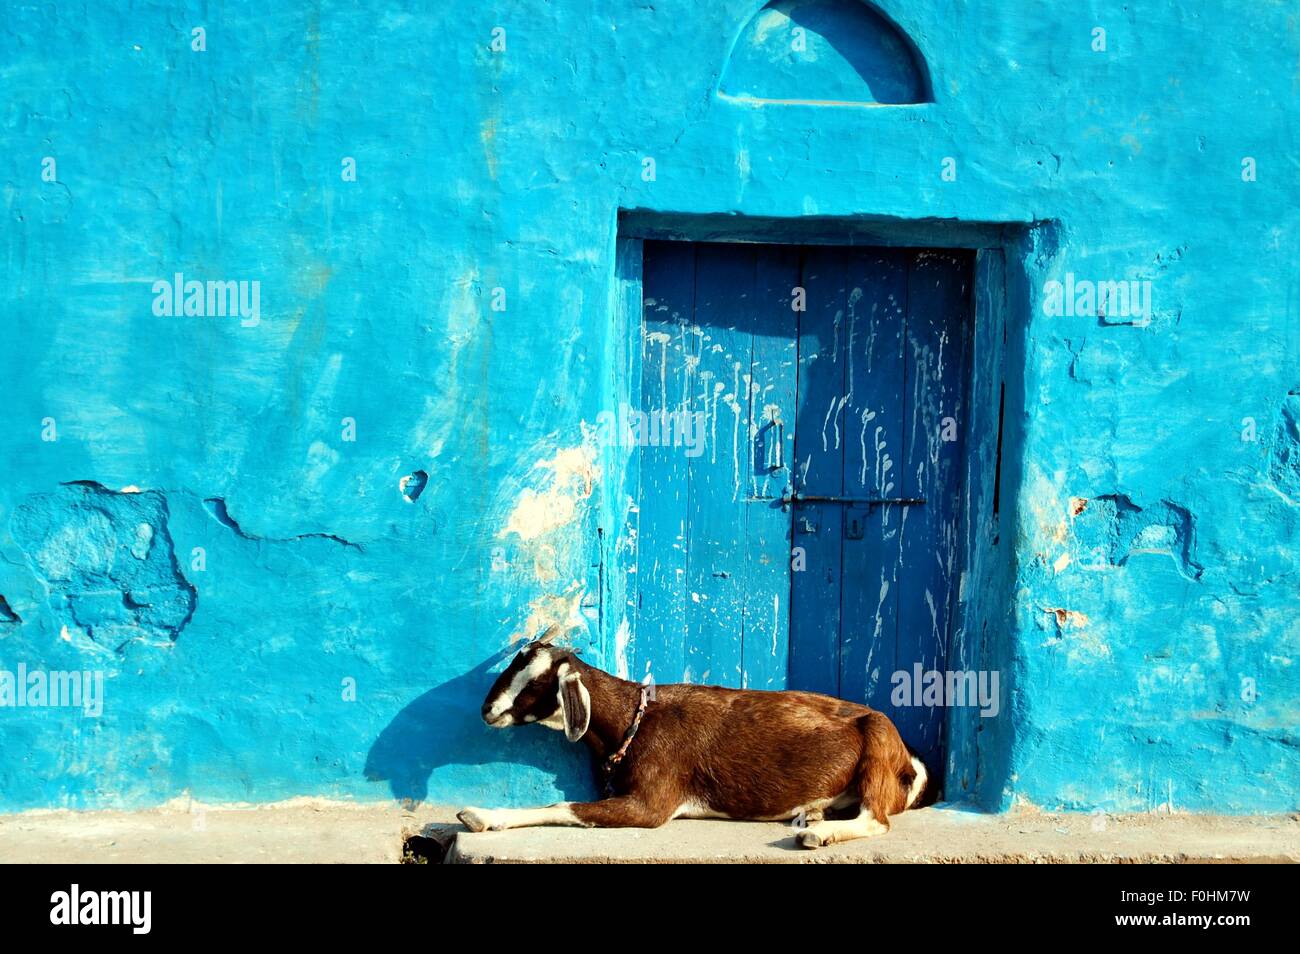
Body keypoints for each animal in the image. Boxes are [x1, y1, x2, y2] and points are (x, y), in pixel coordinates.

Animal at [452, 629, 930, 852]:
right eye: (514, 665)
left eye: (538, 684)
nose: (487, 710)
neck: (636, 719)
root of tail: (911, 763)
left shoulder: (650, 805)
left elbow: (563, 806)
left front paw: (481, 816)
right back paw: (813, 813)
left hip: (878, 738)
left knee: (876, 819)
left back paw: (819, 833)